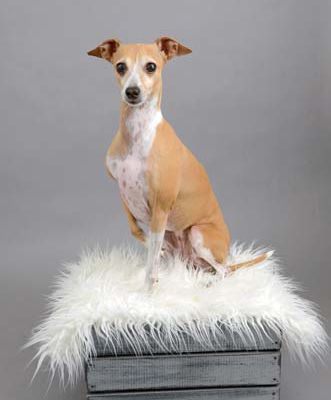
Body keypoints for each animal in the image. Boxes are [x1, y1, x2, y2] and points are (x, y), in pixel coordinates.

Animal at [88, 36, 272, 288]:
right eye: (120, 67)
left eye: (151, 66)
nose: (132, 92)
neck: (137, 133)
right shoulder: (124, 193)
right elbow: (136, 231)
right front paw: (151, 251)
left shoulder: (160, 208)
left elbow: (151, 265)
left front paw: (148, 292)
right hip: (178, 242)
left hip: (198, 234)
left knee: (225, 271)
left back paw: (209, 284)